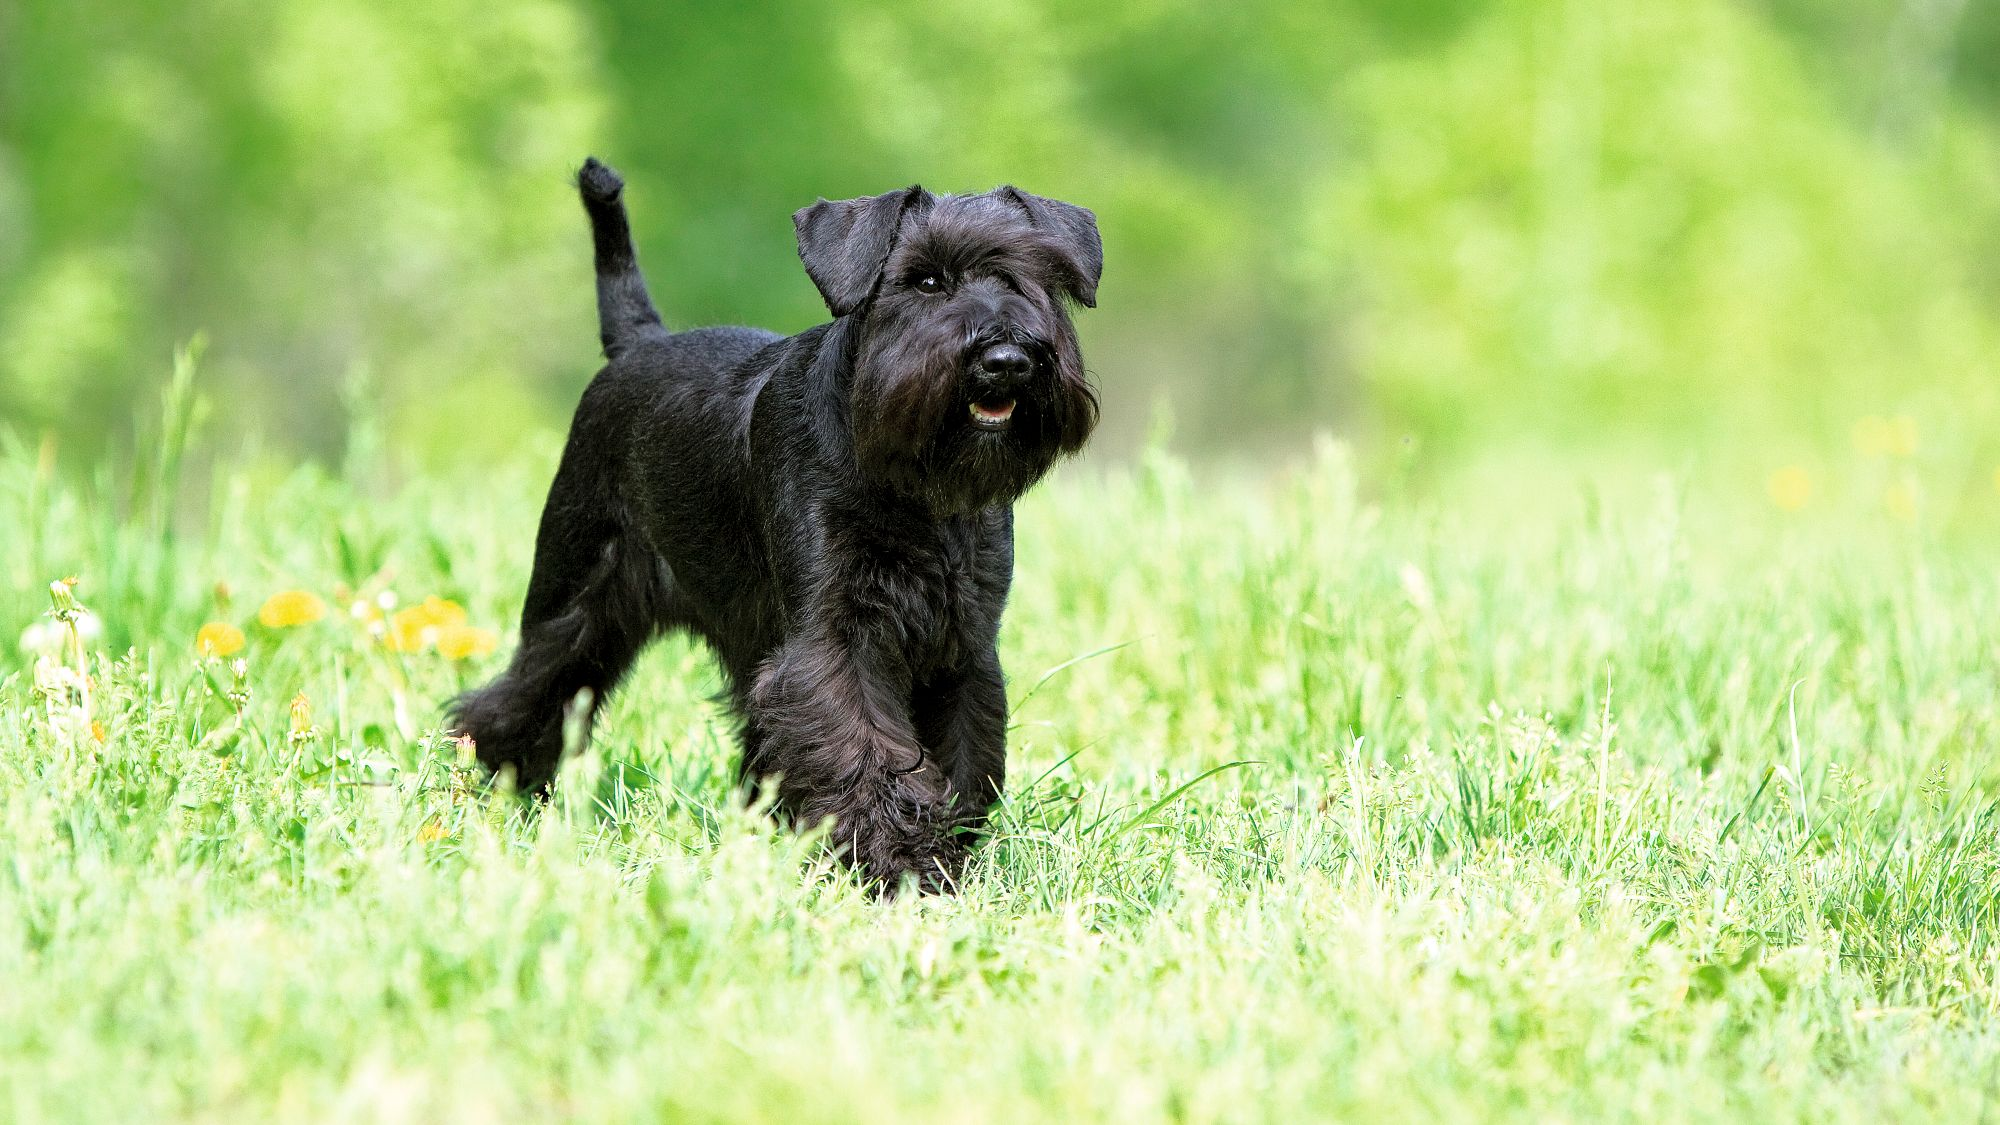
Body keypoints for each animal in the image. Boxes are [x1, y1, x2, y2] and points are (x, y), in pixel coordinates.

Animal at [456, 158, 1104, 888]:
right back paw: (502, 787)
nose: (1006, 360)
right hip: (574, 598)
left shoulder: (961, 642)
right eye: (925, 280)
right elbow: (865, 745)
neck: (913, 485)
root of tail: (637, 344)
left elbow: (964, 751)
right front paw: (901, 862)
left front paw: (944, 856)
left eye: (1034, 279)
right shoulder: (837, 639)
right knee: (526, 691)